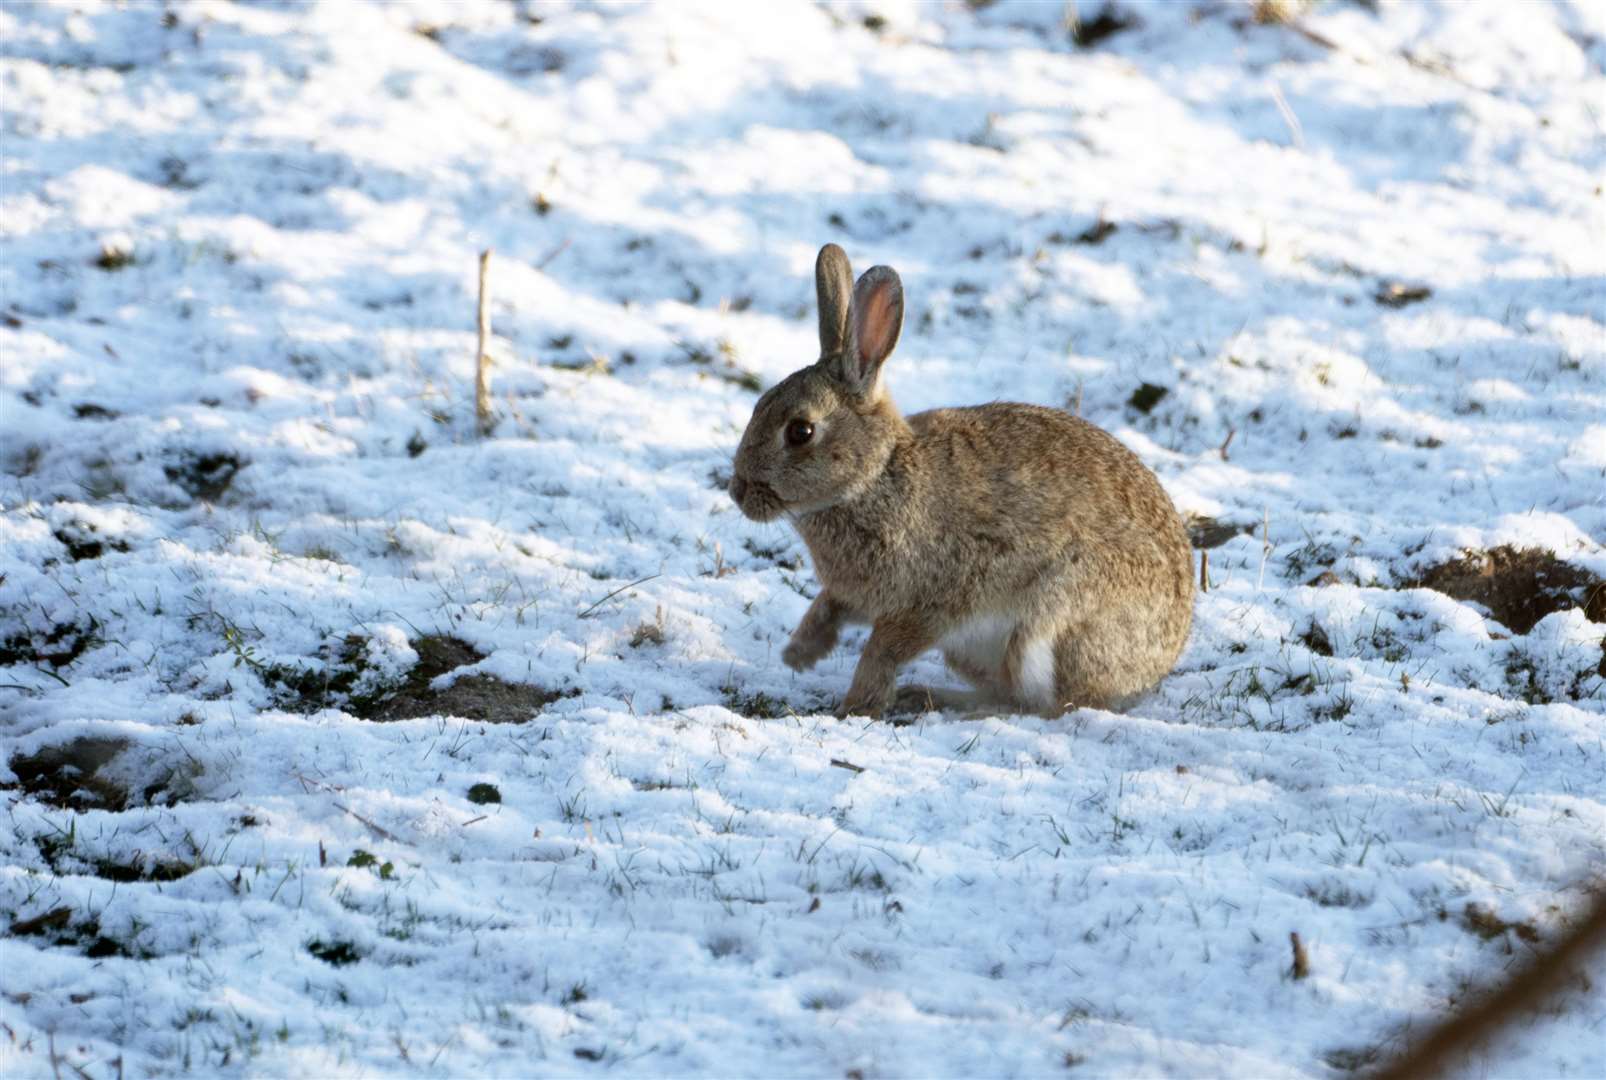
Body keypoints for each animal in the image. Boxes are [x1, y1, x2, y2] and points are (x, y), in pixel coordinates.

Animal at [729, 244, 1194, 716]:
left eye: (800, 432)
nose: (738, 491)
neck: (876, 478)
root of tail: (1156, 667)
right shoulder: (856, 594)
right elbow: (827, 607)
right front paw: (799, 654)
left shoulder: (937, 599)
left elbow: (882, 650)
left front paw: (857, 706)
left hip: (1048, 620)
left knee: (1044, 704)